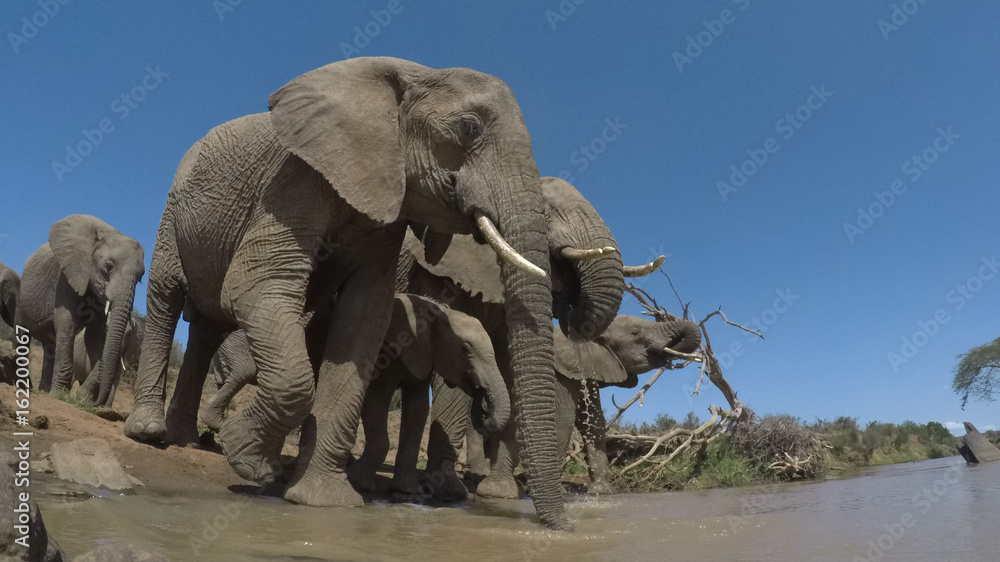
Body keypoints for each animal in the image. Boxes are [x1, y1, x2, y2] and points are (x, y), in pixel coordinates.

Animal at [15, 215, 145, 407]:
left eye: (141, 277)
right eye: (108, 266)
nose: (96, 404)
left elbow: (94, 338)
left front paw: (82, 400)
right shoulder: (66, 276)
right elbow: (67, 322)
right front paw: (60, 396)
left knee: (49, 347)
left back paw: (44, 391)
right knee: (22, 334)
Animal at [199, 294, 509, 498]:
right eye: (466, 349)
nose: (482, 400)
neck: (438, 310)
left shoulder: (421, 354)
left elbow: (418, 407)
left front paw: (406, 490)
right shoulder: (391, 348)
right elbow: (377, 399)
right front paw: (363, 483)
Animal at [398, 176, 665, 500]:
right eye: (543, 212)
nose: (569, 310)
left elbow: (512, 369)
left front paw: (499, 493)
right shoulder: (438, 271)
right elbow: (452, 368)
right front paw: (448, 492)